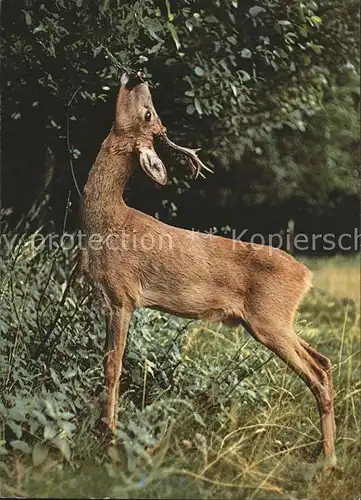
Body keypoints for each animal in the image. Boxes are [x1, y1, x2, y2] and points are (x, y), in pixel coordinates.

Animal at [80, 72, 336, 470]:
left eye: (148, 113)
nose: (136, 75)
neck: (108, 221)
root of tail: (306, 276)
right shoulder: (109, 299)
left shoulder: (123, 295)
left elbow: (113, 366)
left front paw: (109, 435)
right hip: (273, 321)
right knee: (323, 361)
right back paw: (324, 453)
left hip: (270, 319)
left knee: (317, 373)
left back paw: (327, 459)